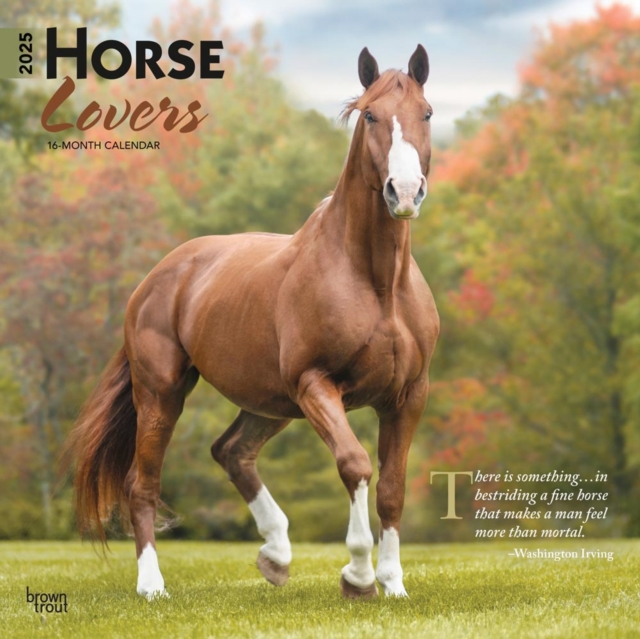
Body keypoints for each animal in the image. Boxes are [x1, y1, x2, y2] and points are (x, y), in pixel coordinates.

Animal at [65, 44, 439, 600]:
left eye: (427, 113)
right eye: (370, 115)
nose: (406, 192)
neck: (376, 284)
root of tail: (156, 277)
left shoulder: (407, 395)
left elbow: (392, 488)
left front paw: (393, 584)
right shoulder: (316, 384)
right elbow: (354, 464)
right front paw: (357, 575)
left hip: (270, 401)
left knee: (231, 451)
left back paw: (276, 555)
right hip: (164, 394)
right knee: (142, 484)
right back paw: (152, 585)